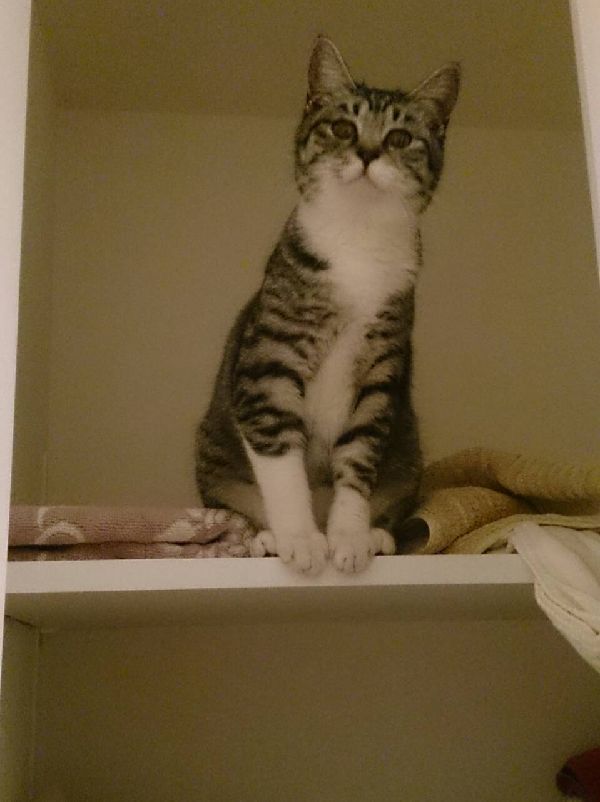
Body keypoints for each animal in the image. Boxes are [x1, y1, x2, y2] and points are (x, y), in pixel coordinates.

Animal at [195, 36, 459, 574]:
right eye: (343, 128)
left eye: (400, 138)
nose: (367, 152)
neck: (356, 238)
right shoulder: (269, 362)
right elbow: (280, 460)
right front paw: (300, 538)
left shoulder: (382, 370)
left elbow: (359, 457)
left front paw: (349, 537)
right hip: (213, 455)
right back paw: (266, 537)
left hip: (408, 452)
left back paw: (377, 534)